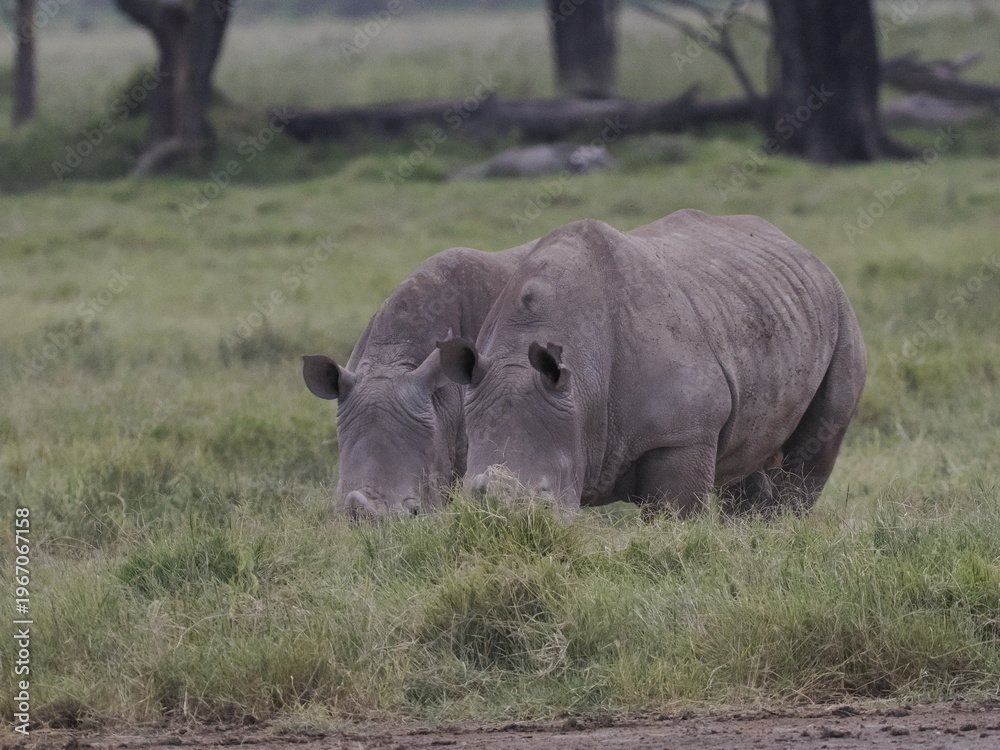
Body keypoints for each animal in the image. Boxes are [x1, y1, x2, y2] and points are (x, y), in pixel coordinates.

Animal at [437, 210, 867, 515]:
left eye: (544, 498)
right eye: (473, 496)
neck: (583, 391)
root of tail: (806, 253)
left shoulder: (685, 433)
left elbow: (672, 514)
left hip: (840, 312)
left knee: (817, 443)